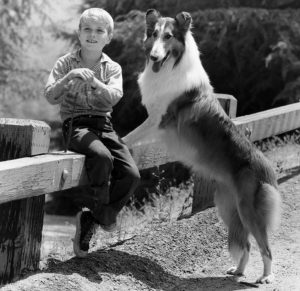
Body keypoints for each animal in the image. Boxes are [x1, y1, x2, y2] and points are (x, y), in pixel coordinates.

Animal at [138, 9, 282, 286]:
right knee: (246, 245)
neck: (172, 66)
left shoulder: (159, 119)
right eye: (154, 34)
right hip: (228, 208)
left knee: (265, 247)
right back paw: (238, 271)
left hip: (249, 211)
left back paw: (266, 277)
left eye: (169, 36)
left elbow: (127, 137)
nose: (153, 57)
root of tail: (268, 170)